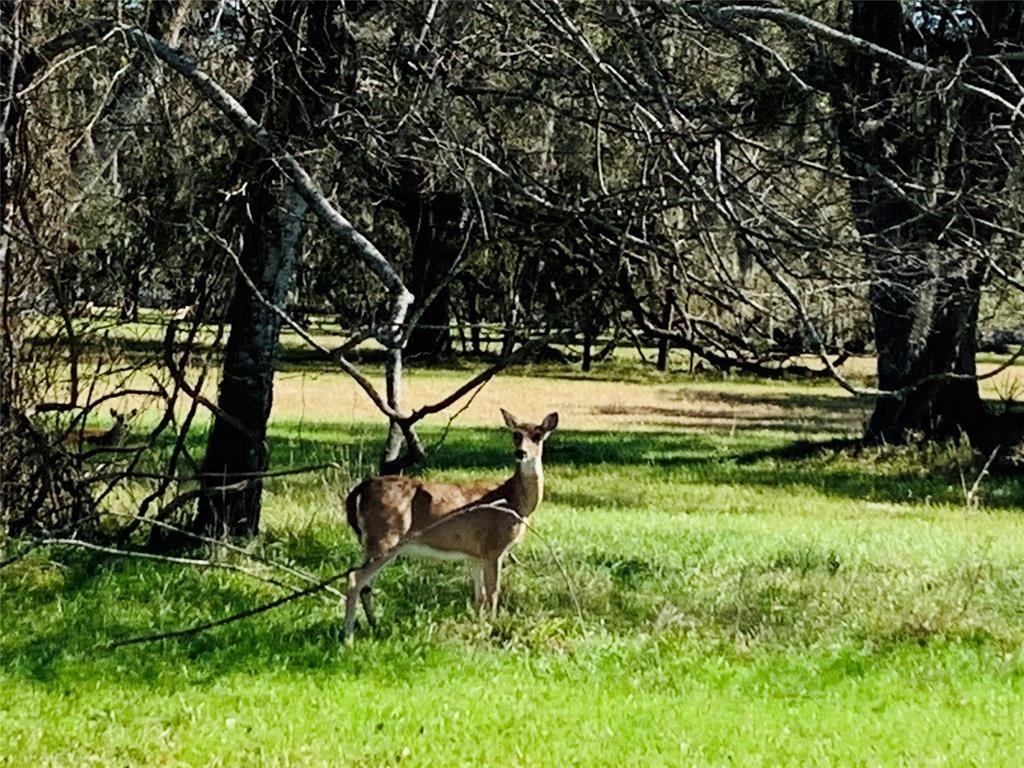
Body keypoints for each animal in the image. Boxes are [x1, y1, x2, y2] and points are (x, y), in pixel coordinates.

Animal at [339, 411, 557, 638]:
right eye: (516, 434)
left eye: (538, 435)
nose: (521, 452)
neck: (514, 502)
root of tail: (360, 490)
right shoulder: (494, 547)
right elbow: (493, 592)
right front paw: (493, 627)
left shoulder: (475, 554)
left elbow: (479, 596)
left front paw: (478, 625)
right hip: (385, 536)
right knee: (355, 578)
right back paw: (348, 635)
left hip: (375, 542)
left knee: (365, 585)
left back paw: (374, 626)